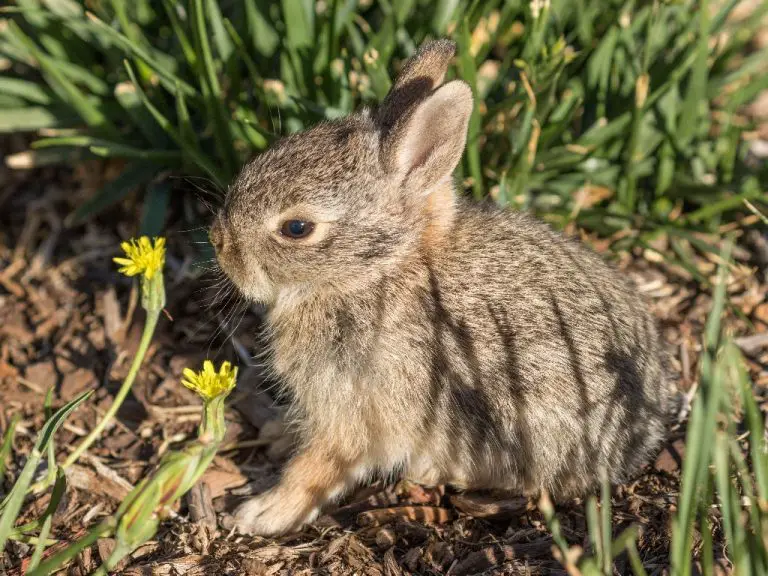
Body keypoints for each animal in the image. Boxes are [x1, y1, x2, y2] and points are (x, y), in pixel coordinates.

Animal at [210, 39, 674, 537]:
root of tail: (641, 438)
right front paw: (277, 435)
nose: (219, 242)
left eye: (296, 228)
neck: (378, 272)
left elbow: (322, 464)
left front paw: (264, 513)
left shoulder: (358, 407)